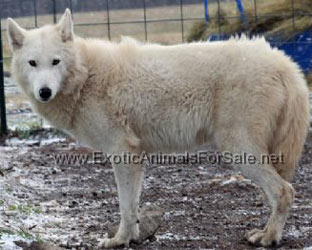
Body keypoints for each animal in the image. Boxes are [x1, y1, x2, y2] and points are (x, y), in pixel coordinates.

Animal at [7, 8, 310, 248]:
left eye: (55, 61)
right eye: (32, 63)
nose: (44, 92)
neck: (86, 76)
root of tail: (284, 62)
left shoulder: (123, 154)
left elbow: (125, 207)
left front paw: (118, 240)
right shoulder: (135, 157)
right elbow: (133, 206)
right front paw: (132, 238)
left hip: (239, 152)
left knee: (284, 192)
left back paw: (269, 238)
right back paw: (265, 232)